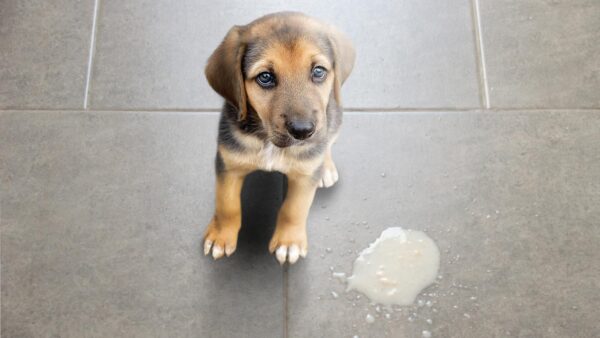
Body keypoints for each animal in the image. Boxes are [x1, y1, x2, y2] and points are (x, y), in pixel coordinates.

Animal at [204, 11, 354, 264]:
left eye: (318, 71)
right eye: (265, 77)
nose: (303, 131)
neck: (268, 142)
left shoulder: (304, 176)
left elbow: (294, 209)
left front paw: (289, 242)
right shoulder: (228, 163)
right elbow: (227, 205)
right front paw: (221, 236)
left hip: (334, 120)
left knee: (327, 144)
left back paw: (326, 168)